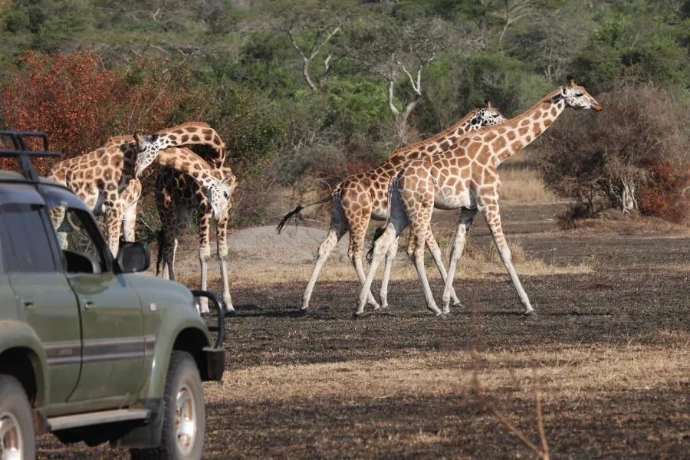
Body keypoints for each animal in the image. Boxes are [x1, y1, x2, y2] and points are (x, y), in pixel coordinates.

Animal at [154, 156, 237, 313]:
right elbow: (204, 253)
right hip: (166, 210)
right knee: (168, 250)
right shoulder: (203, 212)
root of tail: (158, 178)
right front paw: (204, 305)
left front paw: (228, 304)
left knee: (170, 246)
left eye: (226, 195)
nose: (216, 214)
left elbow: (223, 252)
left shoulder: (224, 216)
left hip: (183, 214)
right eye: (208, 194)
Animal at [277, 101, 507, 311]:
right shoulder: (419, 213)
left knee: (324, 248)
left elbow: (390, 251)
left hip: (339, 219)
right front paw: (453, 299)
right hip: (359, 218)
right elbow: (433, 250)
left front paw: (386, 298)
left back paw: (305, 302)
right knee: (354, 253)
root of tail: (337, 190)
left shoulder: (399, 218)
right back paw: (369, 302)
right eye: (495, 115)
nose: (505, 124)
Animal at [358, 78, 603, 316]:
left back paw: (364, 305)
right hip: (421, 207)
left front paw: (448, 303)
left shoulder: (469, 208)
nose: (598, 106)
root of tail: (396, 177)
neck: (496, 151)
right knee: (414, 250)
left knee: (381, 245)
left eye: (585, 89)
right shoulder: (489, 200)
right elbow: (504, 251)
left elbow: (455, 251)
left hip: (399, 211)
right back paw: (431, 307)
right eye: (579, 94)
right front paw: (527, 305)